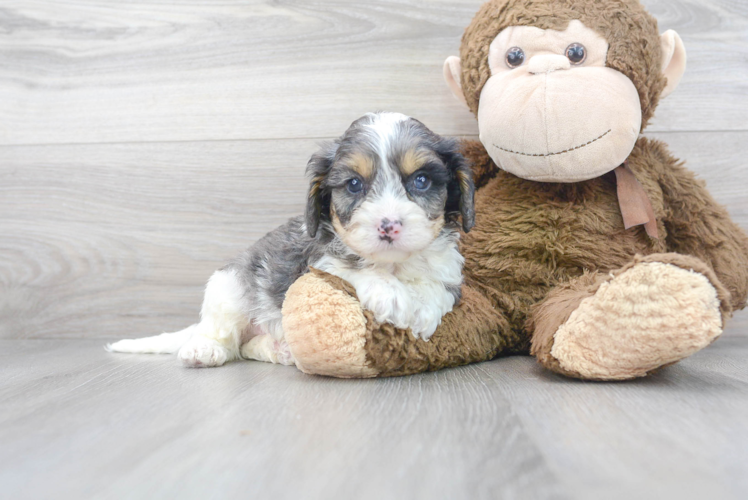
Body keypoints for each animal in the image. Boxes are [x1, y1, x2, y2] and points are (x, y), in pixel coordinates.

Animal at [106, 114, 474, 372]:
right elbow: (350, 267)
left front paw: (424, 309)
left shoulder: (448, 267)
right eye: (354, 185)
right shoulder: (316, 258)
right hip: (229, 288)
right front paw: (394, 296)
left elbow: (440, 289)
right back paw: (203, 349)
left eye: (421, 180)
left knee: (247, 348)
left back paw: (279, 350)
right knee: (224, 338)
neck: (394, 263)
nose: (388, 226)